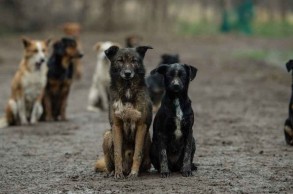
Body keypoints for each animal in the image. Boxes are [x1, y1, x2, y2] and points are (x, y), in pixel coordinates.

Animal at [94, 45, 153, 179]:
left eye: (134, 60)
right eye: (120, 60)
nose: (127, 73)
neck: (127, 90)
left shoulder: (142, 126)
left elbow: (137, 152)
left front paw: (134, 172)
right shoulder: (116, 126)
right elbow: (117, 153)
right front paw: (118, 173)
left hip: (148, 137)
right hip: (107, 135)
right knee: (108, 165)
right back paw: (112, 172)